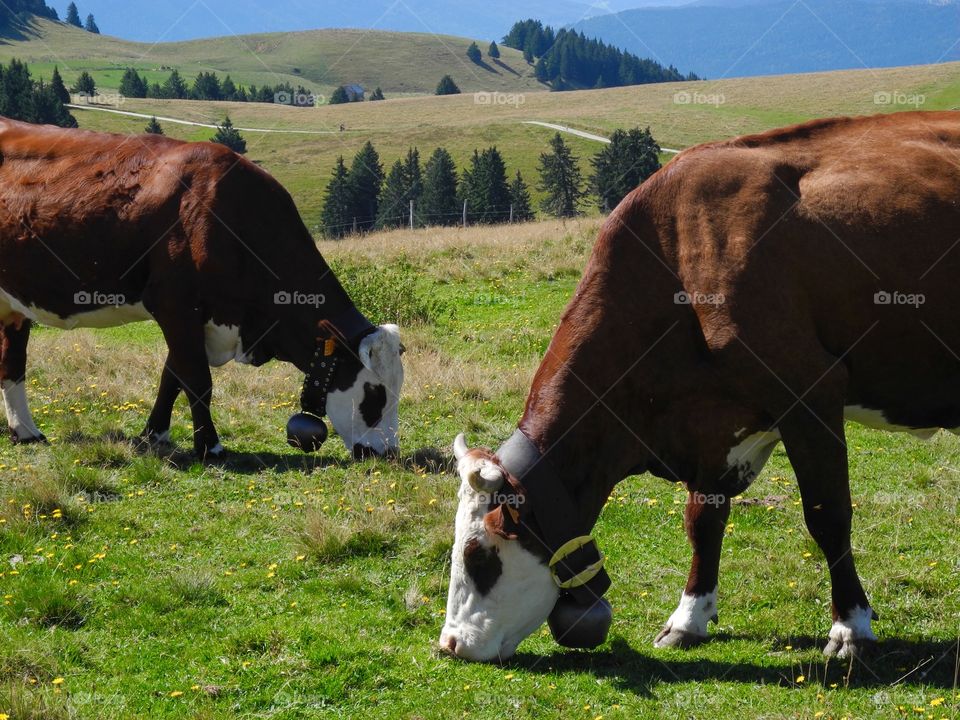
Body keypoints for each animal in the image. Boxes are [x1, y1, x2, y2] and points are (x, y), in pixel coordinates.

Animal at [0, 118, 404, 460]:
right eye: (374, 394)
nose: (388, 453)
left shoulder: (195, 317)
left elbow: (172, 376)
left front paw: (154, 435)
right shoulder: (175, 304)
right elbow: (196, 379)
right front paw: (210, 446)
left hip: (13, 306)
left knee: (12, 363)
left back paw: (27, 432)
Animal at [441, 110, 960, 662]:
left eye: (478, 558)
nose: (449, 644)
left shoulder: (811, 391)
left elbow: (828, 515)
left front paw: (851, 628)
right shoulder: (713, 422)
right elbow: (703, 520)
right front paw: (688, 618)